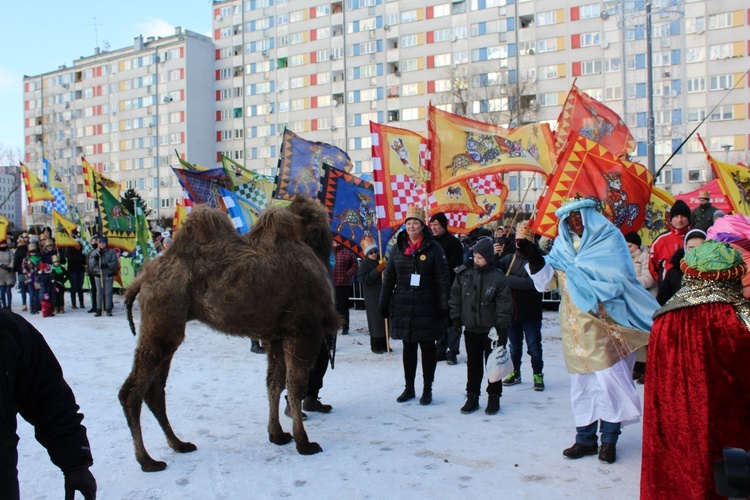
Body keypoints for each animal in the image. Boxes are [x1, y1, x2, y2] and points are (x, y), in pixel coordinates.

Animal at [121, 197, 340, 470]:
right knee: (132, 391)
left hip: (165, 327)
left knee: (154, 390)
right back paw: (147, 459)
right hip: (162, 322)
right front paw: (304, 442)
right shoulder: (302, 330)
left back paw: (179, 444)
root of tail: (142, 279)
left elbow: (274, 383)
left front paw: (277, 434)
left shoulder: (275, 335)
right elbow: (295, 386)